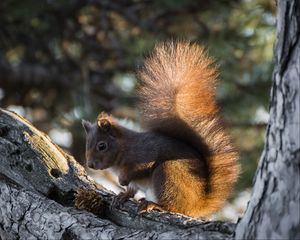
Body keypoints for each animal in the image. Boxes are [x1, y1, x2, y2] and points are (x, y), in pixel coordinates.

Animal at [81, 40, 239, 218]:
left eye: (102, 146)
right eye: (87, 144)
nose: (90, 164)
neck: (123, 148)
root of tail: (198, 205)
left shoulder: (144, 154)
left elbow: (139, 169)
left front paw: (122, 180)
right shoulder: (135, 181)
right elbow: (132, 189)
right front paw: (122, 195)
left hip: (167, 173)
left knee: (175, 206)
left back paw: (155, 204)